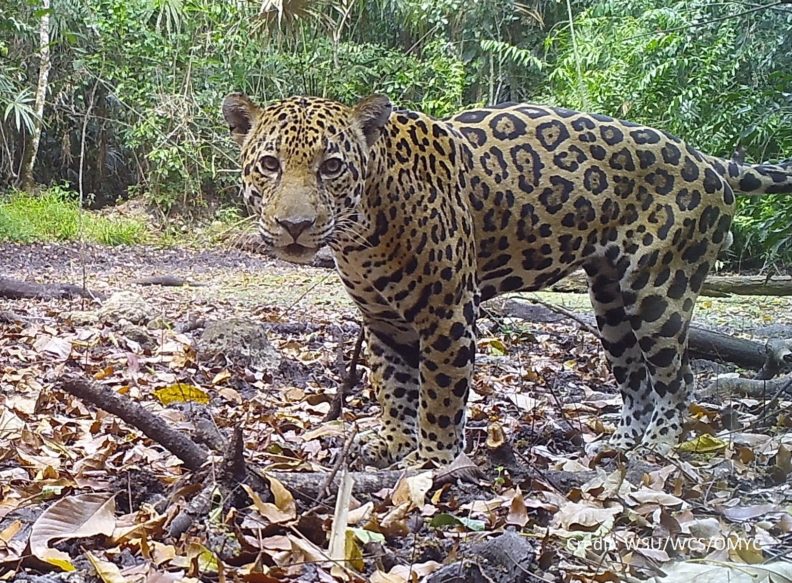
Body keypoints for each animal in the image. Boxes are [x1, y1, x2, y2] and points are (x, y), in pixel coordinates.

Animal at [222, 92, 792, 467]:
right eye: (270, 164)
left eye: (332, 166)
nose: (295, 225)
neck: (362, 231)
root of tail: (707, 158)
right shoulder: (383, 321)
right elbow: (394, 387)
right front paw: (392, 442)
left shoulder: (448, 314)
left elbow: (439, 394)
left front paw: (431, 459)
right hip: (610, 301)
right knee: (636, 379)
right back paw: (620, 444)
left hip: (659, 289)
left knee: (678, 377)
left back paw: (659, 444)